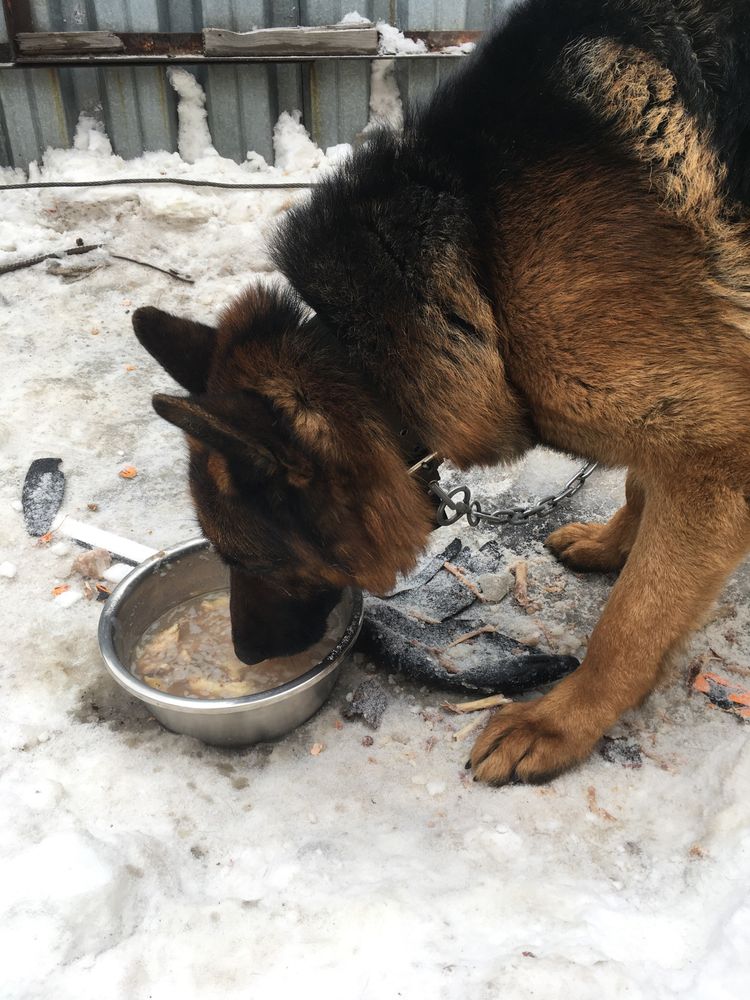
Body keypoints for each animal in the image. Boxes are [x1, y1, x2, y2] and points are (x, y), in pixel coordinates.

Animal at [134, 0, 750, 784]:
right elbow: (643, 488)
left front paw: (558, 723)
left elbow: (630, 623)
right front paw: (616, 543)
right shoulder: (687, 408)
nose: (244, 655)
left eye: (246, 560)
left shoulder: (717, 459)